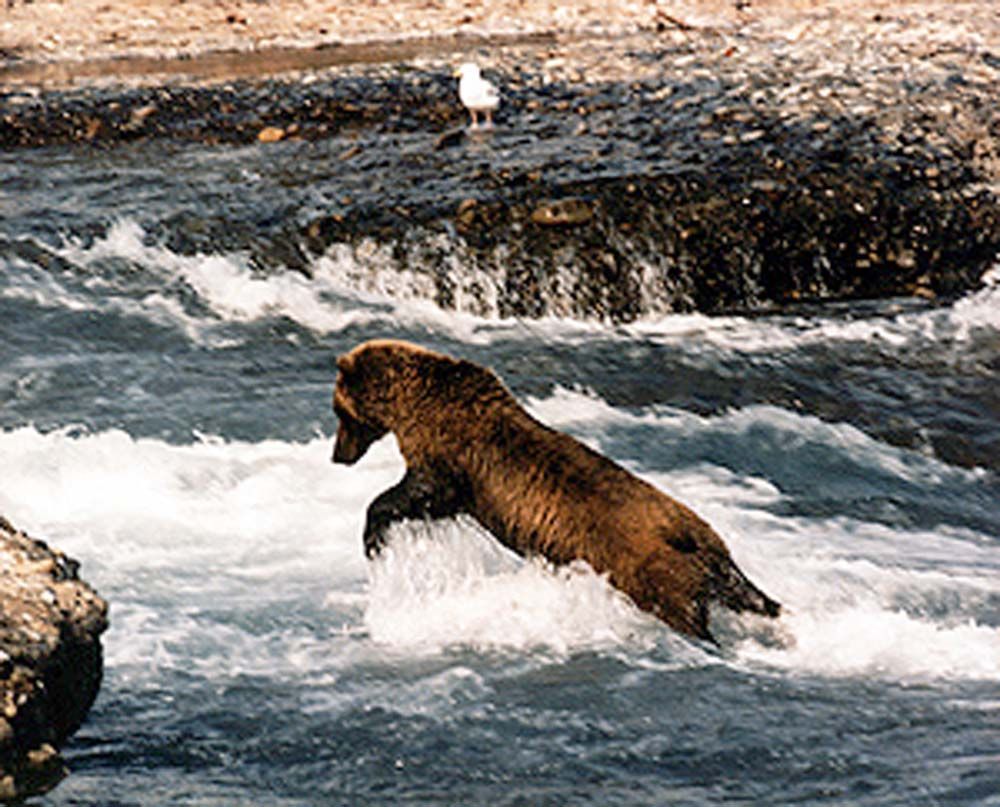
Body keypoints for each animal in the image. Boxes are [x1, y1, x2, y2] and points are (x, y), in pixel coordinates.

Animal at [332, 338, 780, 643]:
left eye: (338, 411)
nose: (338, 455)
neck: (412, 402)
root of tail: (692, 534)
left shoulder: (450, 453)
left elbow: (419, 494)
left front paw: (375, 539)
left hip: (651, 570)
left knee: (683, 608)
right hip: (709, 556)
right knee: (744, 591)